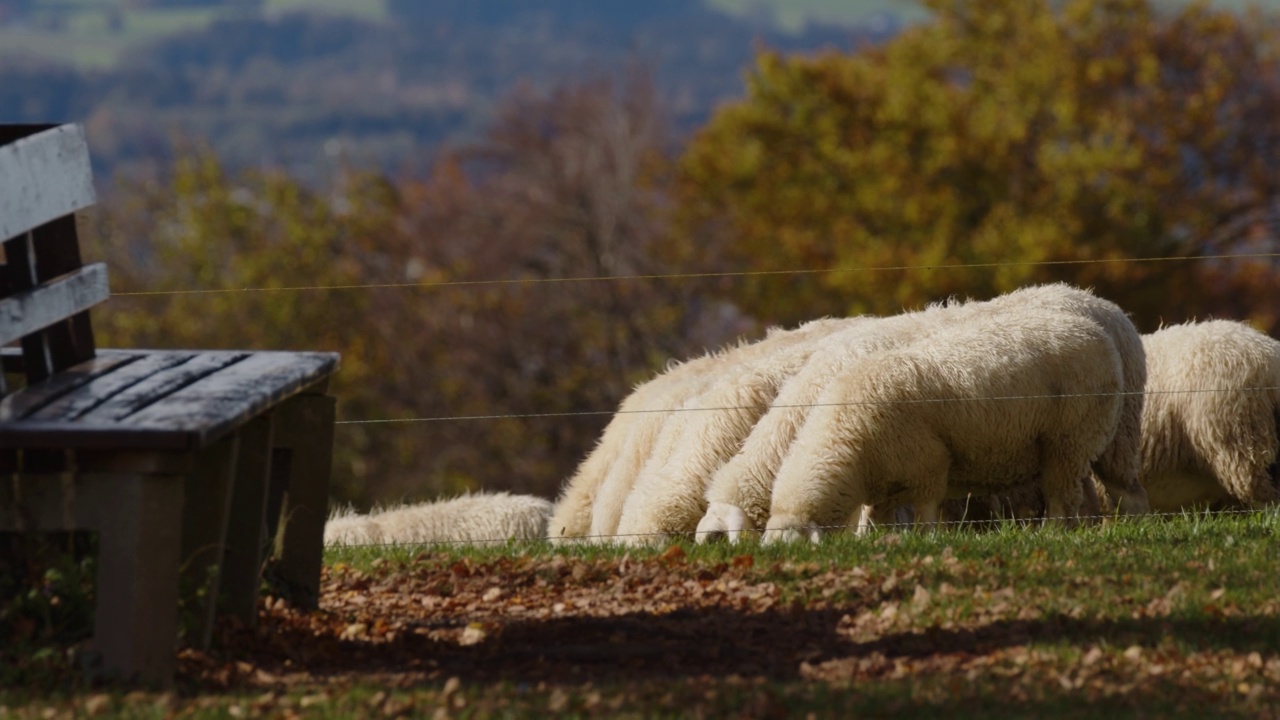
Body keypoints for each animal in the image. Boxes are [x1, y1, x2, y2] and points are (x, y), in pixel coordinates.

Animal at [757, 283, 1141, 540]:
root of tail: (1100, 324)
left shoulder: (929, 462)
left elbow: (926, 511)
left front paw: (923, 540)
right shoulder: (886, 481)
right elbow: (878, 517)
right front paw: (878, 542)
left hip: (1072, 439)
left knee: (1069, 495)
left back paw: (1055, 532)